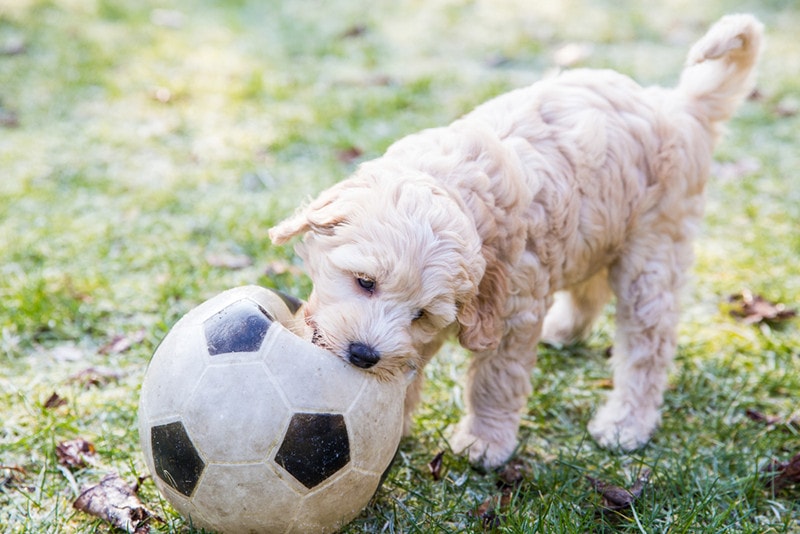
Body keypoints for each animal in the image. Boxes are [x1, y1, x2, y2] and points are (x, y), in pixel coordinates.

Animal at [270, 13, 764, 468]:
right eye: (365, 282)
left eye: (420, 313)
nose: (364, 355)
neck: (459, 190)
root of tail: (678, 107)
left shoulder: (512, 311)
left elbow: (496, 379)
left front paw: (484, 440)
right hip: (600, 230)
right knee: (591, 284)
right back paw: (565, 330)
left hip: (654, 249)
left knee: (648, 343)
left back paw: (626, 423)